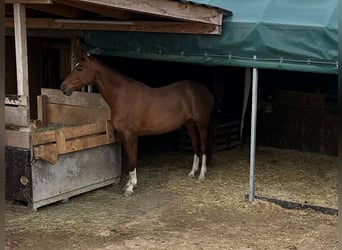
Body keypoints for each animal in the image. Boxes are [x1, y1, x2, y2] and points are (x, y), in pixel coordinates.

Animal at [60, 53, 212, 196]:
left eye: (80, 68)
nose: (63, 87)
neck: (123, 97)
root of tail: (205, 90)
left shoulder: (131, 135)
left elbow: (133, 159)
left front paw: (130, 188)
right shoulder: (123, 135)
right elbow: (129, 158)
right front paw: (128, 184)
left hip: (202, 124)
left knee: (203, 147)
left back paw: (202, 175)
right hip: (189, 124)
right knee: (195, 145)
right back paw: (192, 172)